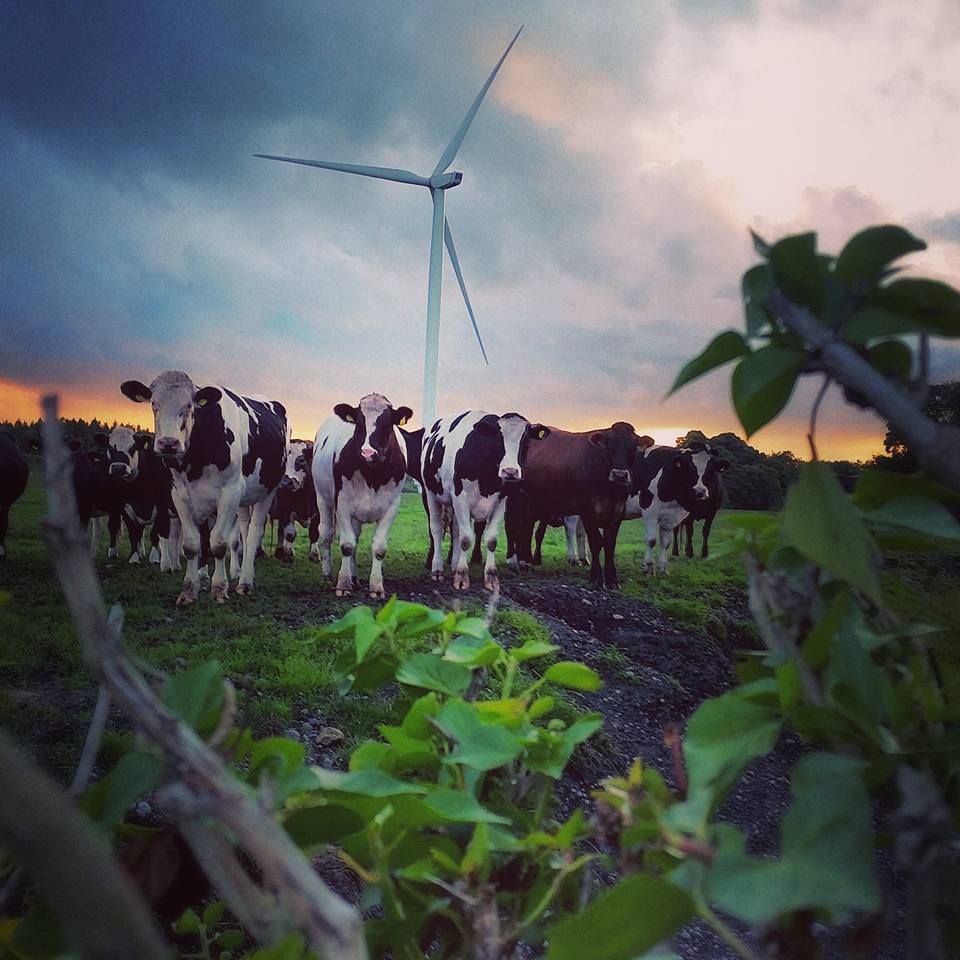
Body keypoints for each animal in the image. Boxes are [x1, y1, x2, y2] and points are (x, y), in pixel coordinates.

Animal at [121, 370, 287, 606]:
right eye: (154, 403)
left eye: (190, 405)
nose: (169, 443)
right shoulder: (180, 494)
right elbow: (192, 544)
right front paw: (189, 590)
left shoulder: (229, 493)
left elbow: (218, 542)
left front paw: (219, 589)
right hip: (244, 497)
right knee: (245, 530)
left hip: (267, 491)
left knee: (254, 532)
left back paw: (245, 582)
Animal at [313, 394, 412, 598]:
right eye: (358, 423)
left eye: (387, 423)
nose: (368, 453)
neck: (372, 475)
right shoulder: (342, 503)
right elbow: (347, 545)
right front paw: (343, 583)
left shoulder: (392, 507)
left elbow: (379, 548)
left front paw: (376, 587)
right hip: (322, 498)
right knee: (326, 534)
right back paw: (327, 575)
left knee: (356, 536)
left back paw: (355, 576)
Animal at [422, 411, 550, 591]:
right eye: (498, 440)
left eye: (525, 443)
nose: (510, 471)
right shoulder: (460, 497)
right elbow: (466, 539)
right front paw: (462, 576)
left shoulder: (501, 502)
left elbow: (490, 540)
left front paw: (490, 577)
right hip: (430, 494)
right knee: (436, 530)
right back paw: (437, 569)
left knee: (455, 530)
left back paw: (454, 565)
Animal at [505, 423, 653, 589]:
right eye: (608, 445)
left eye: (633, 447)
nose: (619, 475)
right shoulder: (586, 508)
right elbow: (595, 541)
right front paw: (596, 577)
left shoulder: (618, 509)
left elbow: (609, 543)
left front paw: (612, 579)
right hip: (516, 498)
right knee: (515, 527)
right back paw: (517, 561)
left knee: (526, 528)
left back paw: (525, 560)